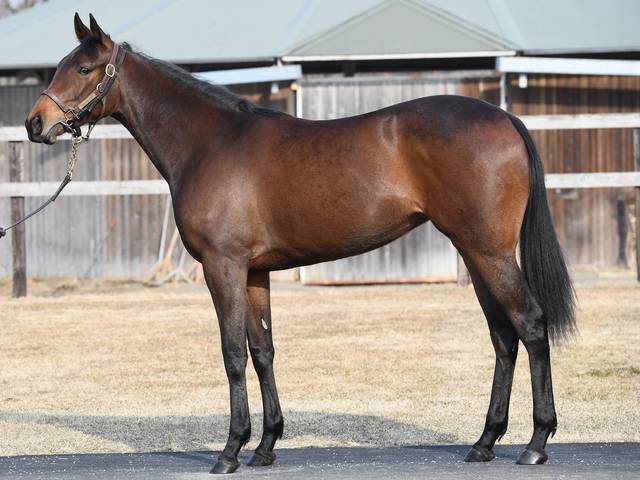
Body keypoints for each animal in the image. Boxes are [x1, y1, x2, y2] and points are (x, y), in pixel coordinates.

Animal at [25, 13, 575, 475]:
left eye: (84, 68)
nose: (35, 124)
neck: (210, 143)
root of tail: (505, 118)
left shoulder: (222, 267)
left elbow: (232, 352)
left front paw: (230, 450)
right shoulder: (254, 272)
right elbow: (263, 350)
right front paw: (266, 445)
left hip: (489, 252)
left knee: (530, 325)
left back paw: (536, 443)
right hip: (475, 253)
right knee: (502, 336)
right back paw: (485, 442)